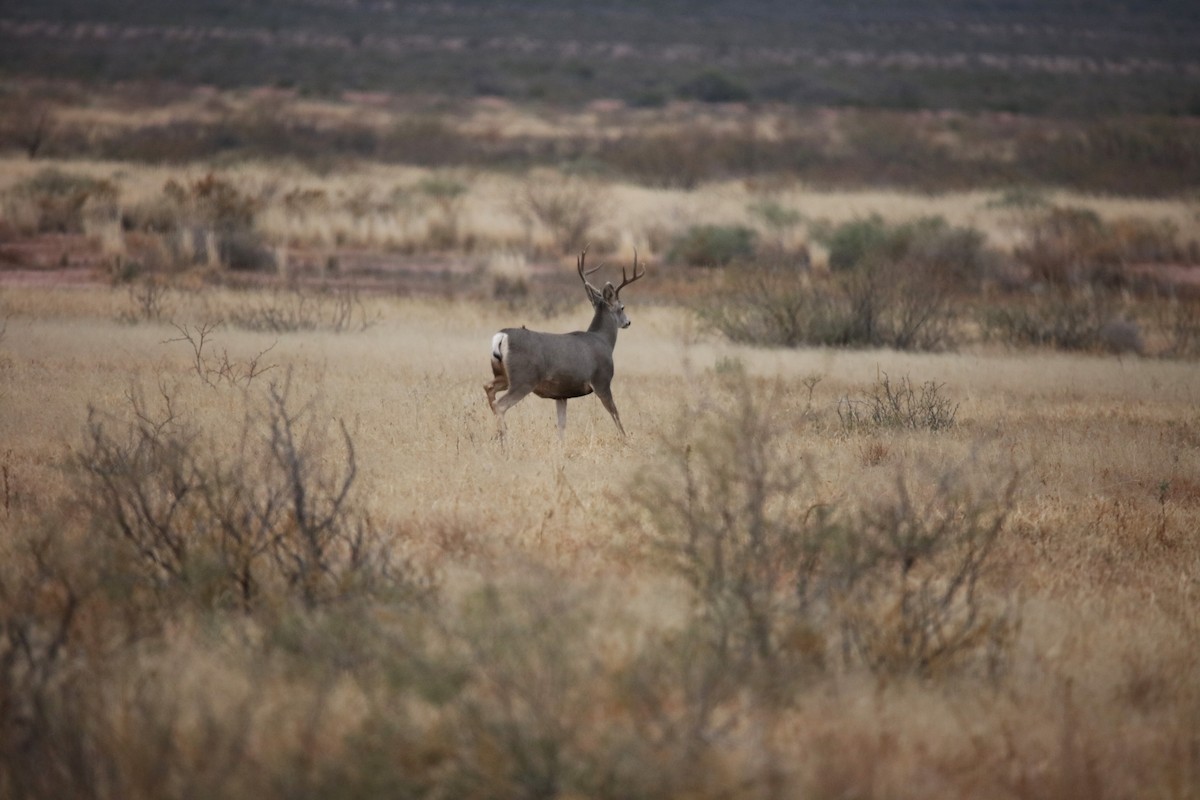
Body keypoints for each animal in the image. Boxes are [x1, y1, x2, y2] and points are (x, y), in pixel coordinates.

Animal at [485, 247, 646, 441]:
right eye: (622, 307)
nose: (628, 322)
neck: (603, 340)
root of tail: (502, 336)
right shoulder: (602, 380)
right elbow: (615, 414)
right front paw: (626, 440)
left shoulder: (561, 394)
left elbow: (561, 425)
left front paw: (560, 444)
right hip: (523, 378)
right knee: (500, 404)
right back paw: (505, 438)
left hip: (505, 375)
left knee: (488, 388)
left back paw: (498, 435)